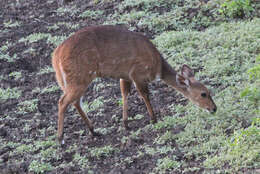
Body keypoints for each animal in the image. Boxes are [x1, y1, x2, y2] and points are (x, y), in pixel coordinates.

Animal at [51, 24, 216, 144]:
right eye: (204, 94)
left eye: (209, 91)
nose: (214, 108)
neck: (158, 66)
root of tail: (56, 56)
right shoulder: (138, 74)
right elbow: (145, 95)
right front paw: (154, 119)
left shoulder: (125, 76)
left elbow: (125, 93)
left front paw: (125, 123)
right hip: (80, 78)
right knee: (63, 101)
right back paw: (61, 138)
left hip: (69, 81)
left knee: (75, 102)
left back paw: (93, 130)